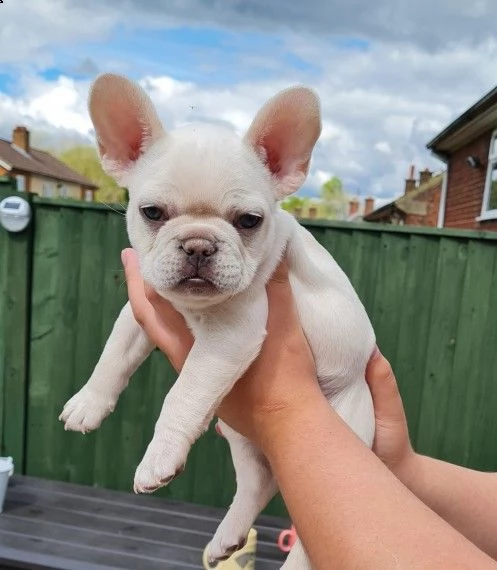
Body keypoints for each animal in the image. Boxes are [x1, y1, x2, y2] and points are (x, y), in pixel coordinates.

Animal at [58, 73, 374, 564]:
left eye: (249, 220)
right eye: (152, 213)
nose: (199, 245)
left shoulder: (231, 336)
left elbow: (183, 394)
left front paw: (158, 457)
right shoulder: (142, 307)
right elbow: (113, 354)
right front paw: (88, 402)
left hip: (337, 458)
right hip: (240, 434)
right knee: (257, 482)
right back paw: (228, 536)